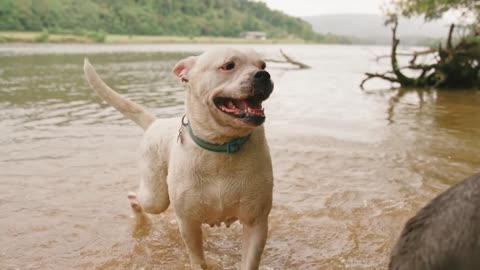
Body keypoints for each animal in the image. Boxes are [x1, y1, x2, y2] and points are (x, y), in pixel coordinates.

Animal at [83, 48, 274, 270]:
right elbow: (198, 259)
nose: (263, 75)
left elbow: (250, 261)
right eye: (228, 66)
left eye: (263, 65)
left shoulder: (256, 222)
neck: (221, 146)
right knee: (139, 198)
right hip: (155, 197)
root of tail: (155, 123)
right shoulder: (188, 222)